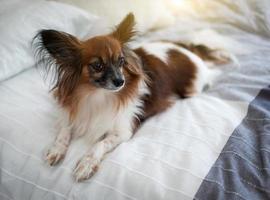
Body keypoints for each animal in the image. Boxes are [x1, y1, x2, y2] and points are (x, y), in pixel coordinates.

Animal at [33, 12, 231, 181]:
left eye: (121, 61)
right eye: (97, 66)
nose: (120, 81)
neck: (96, 94)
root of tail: (187, 50)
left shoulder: (123, 131)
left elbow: (100, 144)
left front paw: (87, 164)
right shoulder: (71, 114)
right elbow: (63, 131)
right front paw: (56, 149)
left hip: (192, 88)